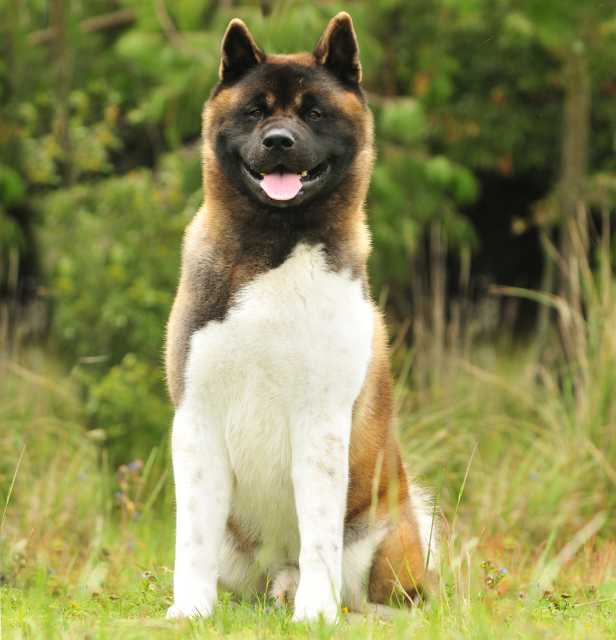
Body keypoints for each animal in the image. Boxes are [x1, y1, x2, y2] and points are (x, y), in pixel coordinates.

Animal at [164, 11, 434, 620]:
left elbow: (319, 533)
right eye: (254, 112)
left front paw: (315, 614)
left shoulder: (321, 422)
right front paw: (188, 610)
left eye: (313, 113)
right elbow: (191, 537)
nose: (279, 140)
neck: (274, 246)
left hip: (402, 535)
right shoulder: (196, 418)